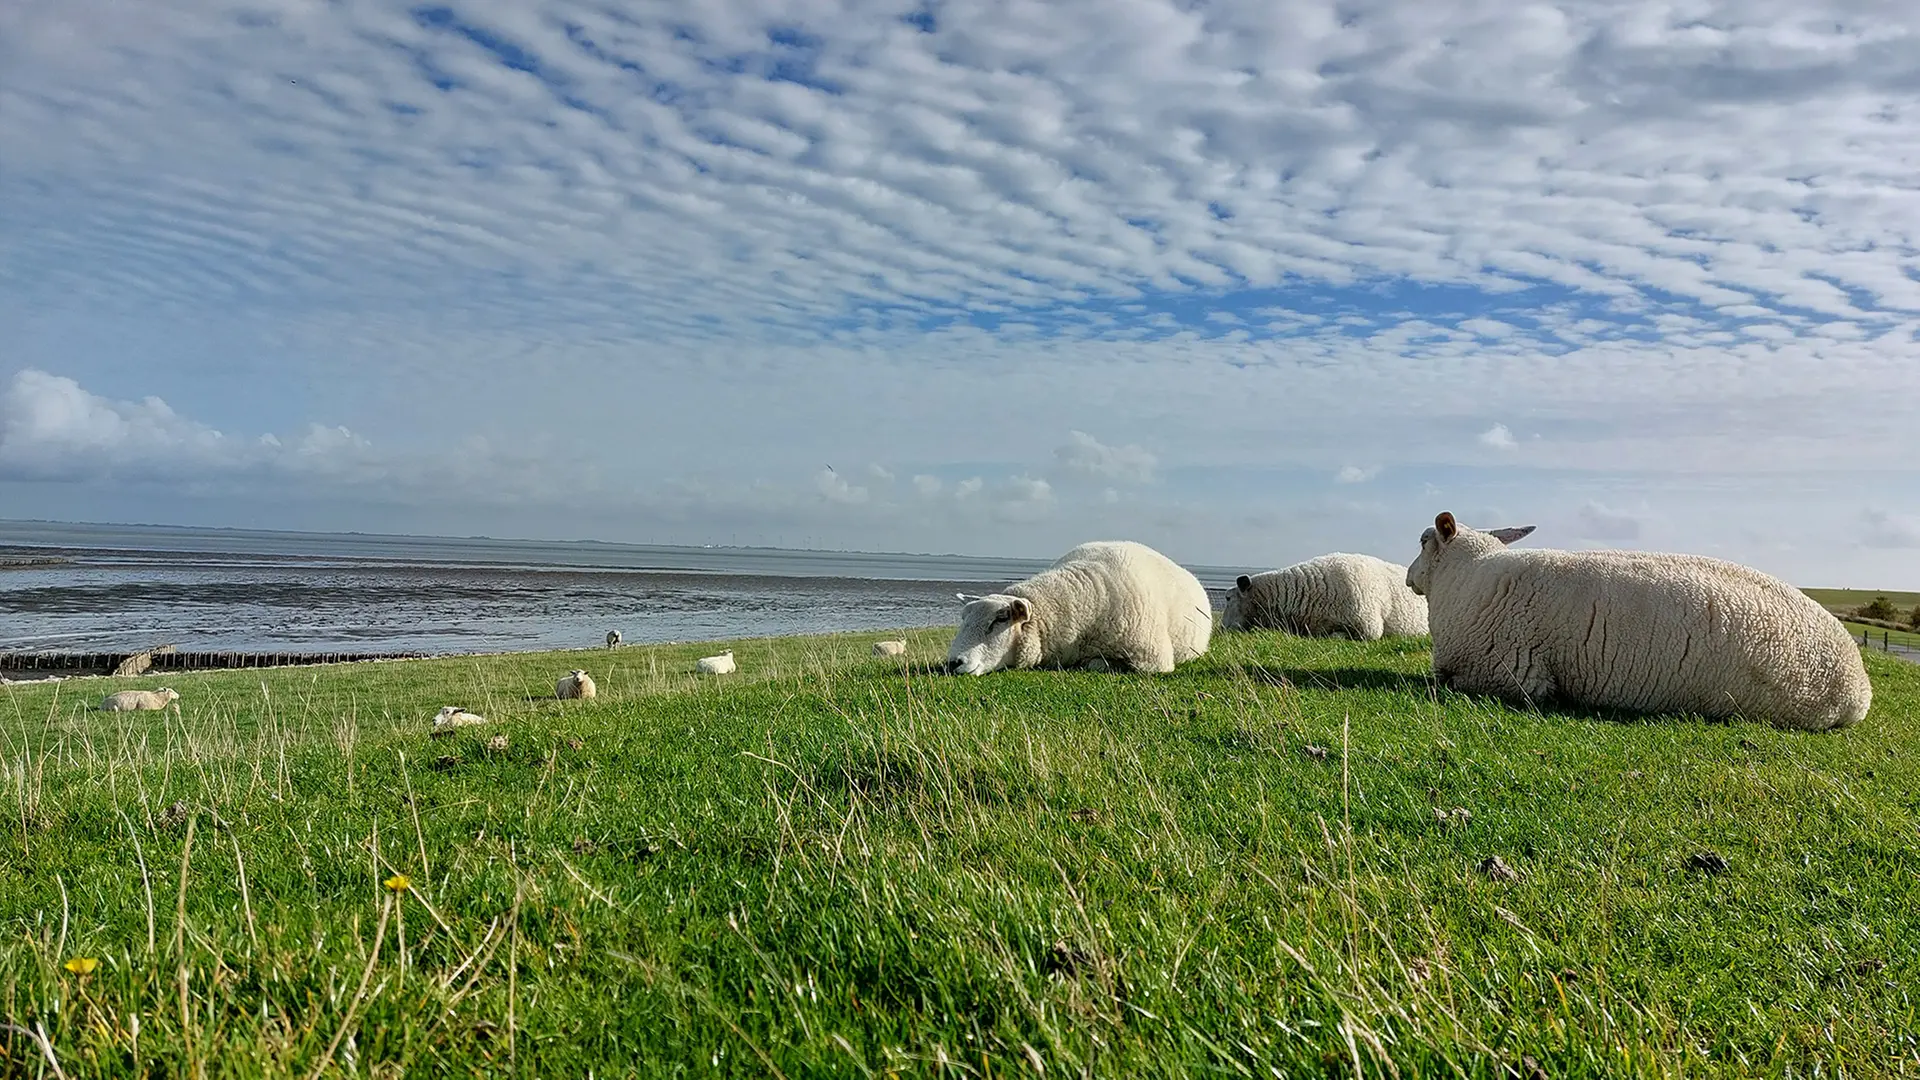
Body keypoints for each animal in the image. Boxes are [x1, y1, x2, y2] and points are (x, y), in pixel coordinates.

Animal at [1406, 511, 1872, 731]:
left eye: (1424, 541)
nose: (1409, 578)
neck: (1470, 577)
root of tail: (1860, 687)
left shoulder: (1513, 675)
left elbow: (1446, 681)